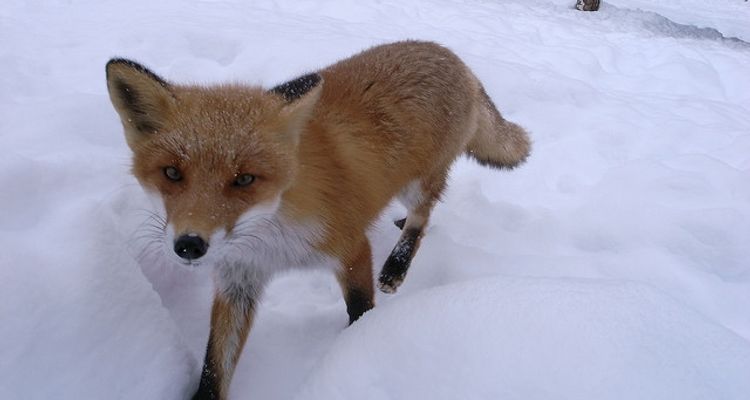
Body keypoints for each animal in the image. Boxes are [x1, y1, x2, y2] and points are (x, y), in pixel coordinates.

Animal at [106, 41, 532, 400]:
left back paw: (397, 265)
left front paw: (362, 347)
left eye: (244, 179)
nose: (190, 245)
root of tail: (451, 55)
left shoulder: (351, 248)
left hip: (415, 185)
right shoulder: (239, 278)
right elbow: (215, 367)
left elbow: (360, 311)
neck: (272, 233)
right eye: (172, 173)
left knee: (423, 218)